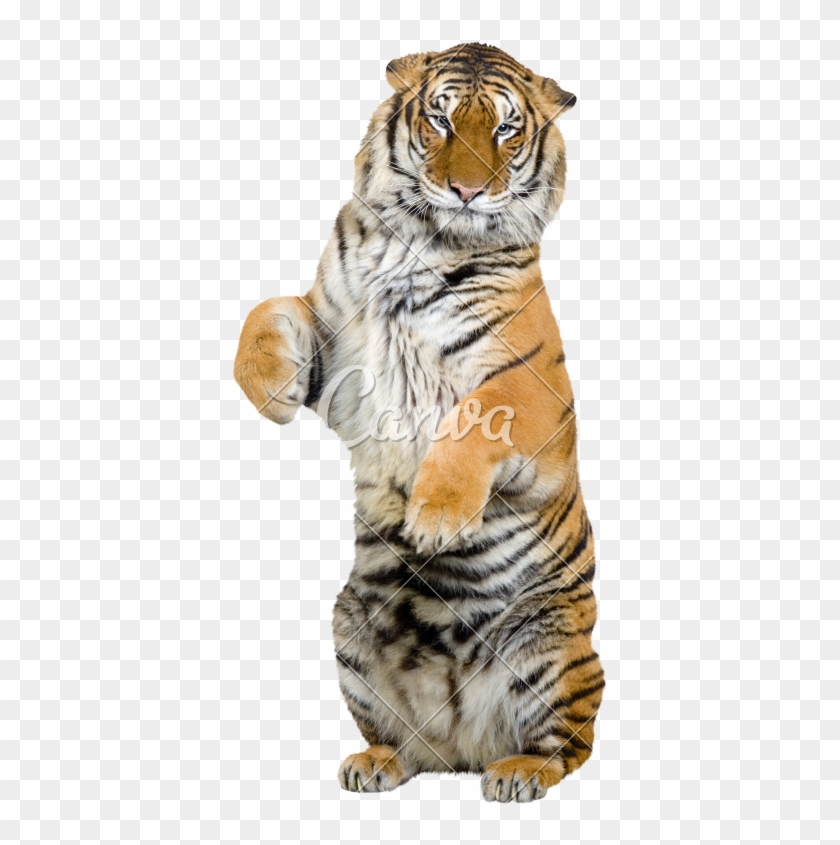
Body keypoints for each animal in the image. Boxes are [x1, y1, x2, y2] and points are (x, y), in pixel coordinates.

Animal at [234, 42, 604, 802]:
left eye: (505, 130)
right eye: (440, 121)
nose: (465, 192)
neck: (425, 241)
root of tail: (467, 744)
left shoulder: (532, 390)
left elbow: (473, 420)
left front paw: (434, 518)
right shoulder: (335, 348)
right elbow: (268, 310)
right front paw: (269, 389)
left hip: (554, 643)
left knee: (570, 747)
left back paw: (519, 773)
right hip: (348, 626)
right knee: (405, 743)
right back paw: (375, 762)